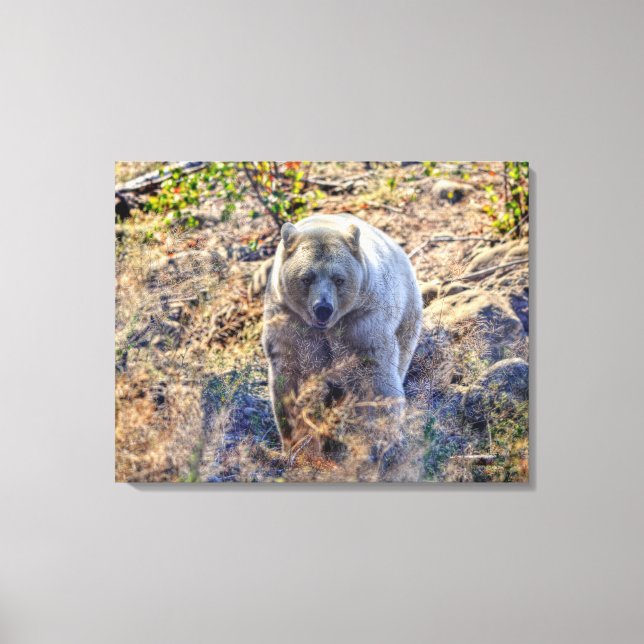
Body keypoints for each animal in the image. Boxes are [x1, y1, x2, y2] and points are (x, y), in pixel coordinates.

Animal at [262, 213, 423, 452]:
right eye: (306, 278)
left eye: (339, 279)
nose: (323, 308)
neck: (326, 329)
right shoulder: (290, 323)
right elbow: (293, 377)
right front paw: (298, 440)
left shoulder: (361, 321)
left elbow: (373, 375)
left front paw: (381, 434)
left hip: (407, 314)